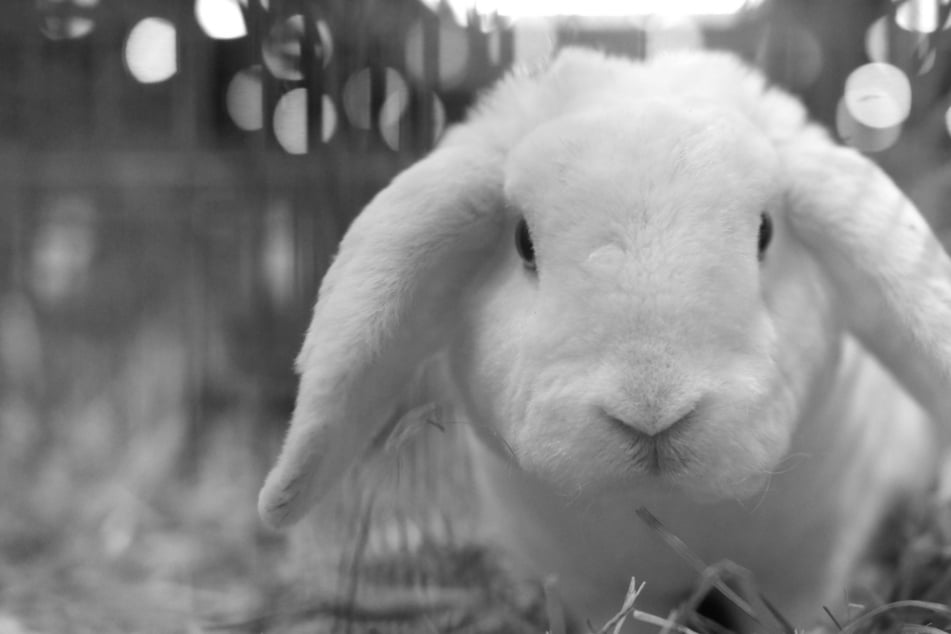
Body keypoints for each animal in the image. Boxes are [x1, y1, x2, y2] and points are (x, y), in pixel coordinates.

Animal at [257, 47, 951, 631]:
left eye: (765, 234)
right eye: (524, 243)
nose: (653, 411)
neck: (672, 512)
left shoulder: (809, 568)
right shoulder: (587, 586)